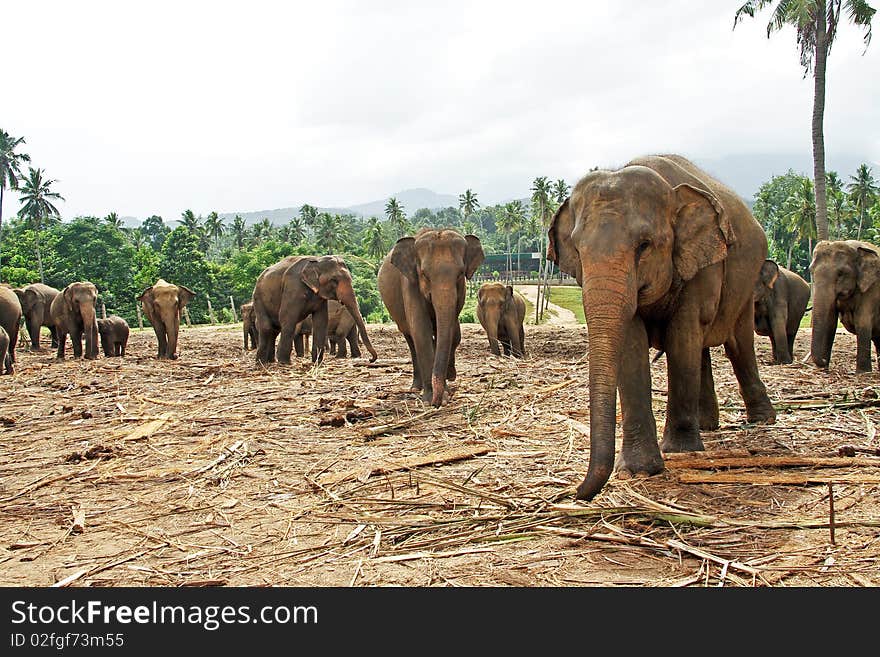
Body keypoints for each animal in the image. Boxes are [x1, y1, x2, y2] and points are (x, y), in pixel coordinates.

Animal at [378, 228, 488, 408]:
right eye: (424, 274)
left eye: (460, 274)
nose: (437, 402)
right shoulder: (410, 283)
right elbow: (421, 330)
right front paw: (432, 399)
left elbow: (451, 331)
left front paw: (447, 386)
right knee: (411, 338)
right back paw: (416, 387)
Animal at [552, 155, 776, 502]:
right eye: (577, 249)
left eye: (644, 246)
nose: (574, 493)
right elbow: (632, 346)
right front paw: (638, 471)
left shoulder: (702, 265)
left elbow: (682, 336)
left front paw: (680, 451)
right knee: (703, 349)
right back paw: (707, 425)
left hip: (747, 281)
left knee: (737, 345)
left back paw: (762, 419)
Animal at [808, 240, 880, 374]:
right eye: (811, 271)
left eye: (841, 273)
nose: (824, 361)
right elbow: (830, 322)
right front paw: (825, 369)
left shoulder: (873, 289)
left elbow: (862, 322)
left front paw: (863, 372)